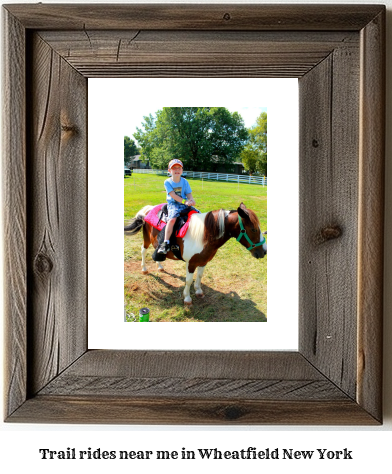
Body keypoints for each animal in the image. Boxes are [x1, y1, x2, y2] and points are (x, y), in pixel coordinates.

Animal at [125, 202, 266, 306]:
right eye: (253, 229)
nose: (264, 251)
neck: (205, 235)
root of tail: (148, 209)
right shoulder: (191, 263)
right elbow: (188, 280)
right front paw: (187, 298)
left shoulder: (203, 261)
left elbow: (199, 276)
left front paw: (198, 291)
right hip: (146, 239)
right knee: (143, 251)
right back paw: (144, 269)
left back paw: (160, 266)